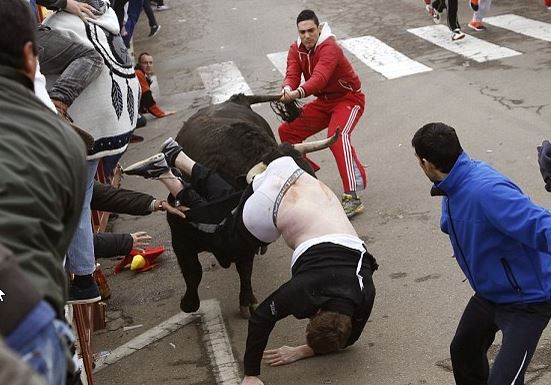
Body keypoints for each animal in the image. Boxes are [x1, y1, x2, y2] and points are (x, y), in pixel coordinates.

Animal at [166, 93, 326, 318]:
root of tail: (236, 98)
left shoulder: (247, 243)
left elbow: (245, 270)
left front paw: (247, 301)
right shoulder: (179, 237)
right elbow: (193, 273)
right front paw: (187, 303)